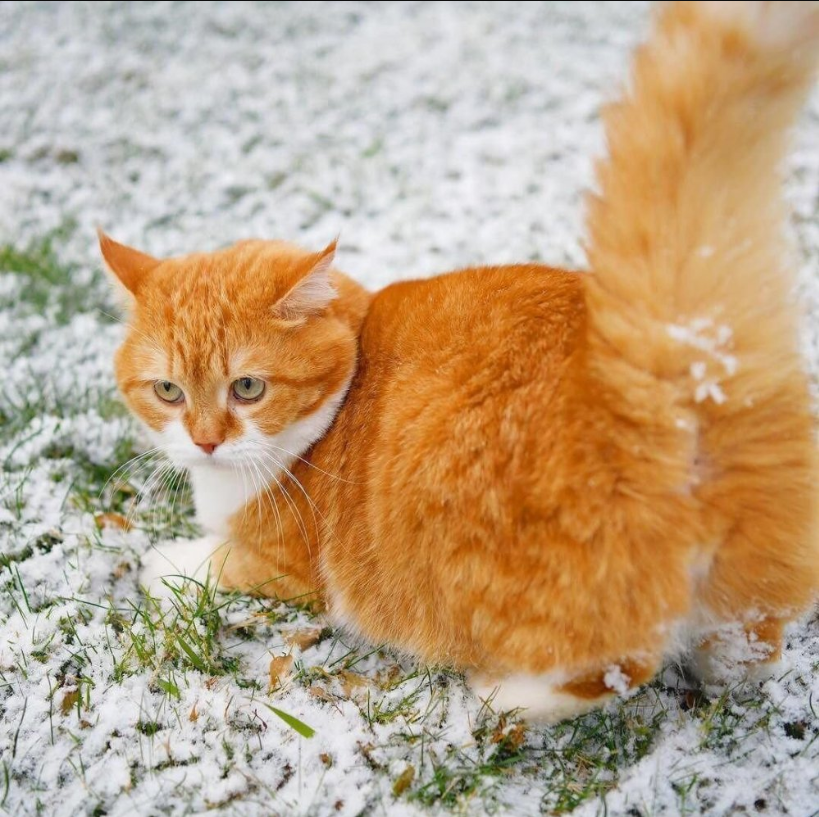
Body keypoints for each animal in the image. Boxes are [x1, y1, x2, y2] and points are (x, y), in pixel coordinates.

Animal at [101, 3, 819, 724]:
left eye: (247, 387)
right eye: (168, 390)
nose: (205, 441)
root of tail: (670, 382)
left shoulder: (291, 569)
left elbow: (210, 561)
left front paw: (164, 559)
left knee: (616, 664)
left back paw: (504, 695)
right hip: (745, 594)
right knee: (749, 651)